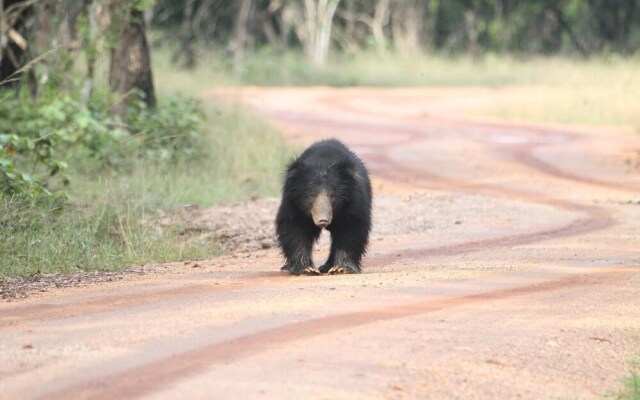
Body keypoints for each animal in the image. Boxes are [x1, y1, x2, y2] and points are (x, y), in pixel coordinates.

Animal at [274, 138, 370, 276]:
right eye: (311, 195)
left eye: (332, 196)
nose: (323, 220)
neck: (323, 163)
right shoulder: (293, 203)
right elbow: (294, 228)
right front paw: (306, 268)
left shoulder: (353, 203)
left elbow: (351, 229)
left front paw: (341, 268)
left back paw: (328, 266)